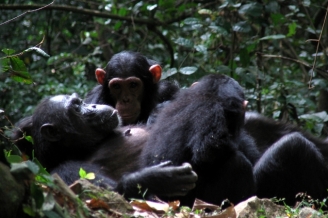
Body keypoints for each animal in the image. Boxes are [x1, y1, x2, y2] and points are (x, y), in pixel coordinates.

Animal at [27, 93, 197, 199]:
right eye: (76, 109)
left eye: (81, 102)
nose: (93, 105)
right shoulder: (65, 171)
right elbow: (110, 194)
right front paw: (157, 179)